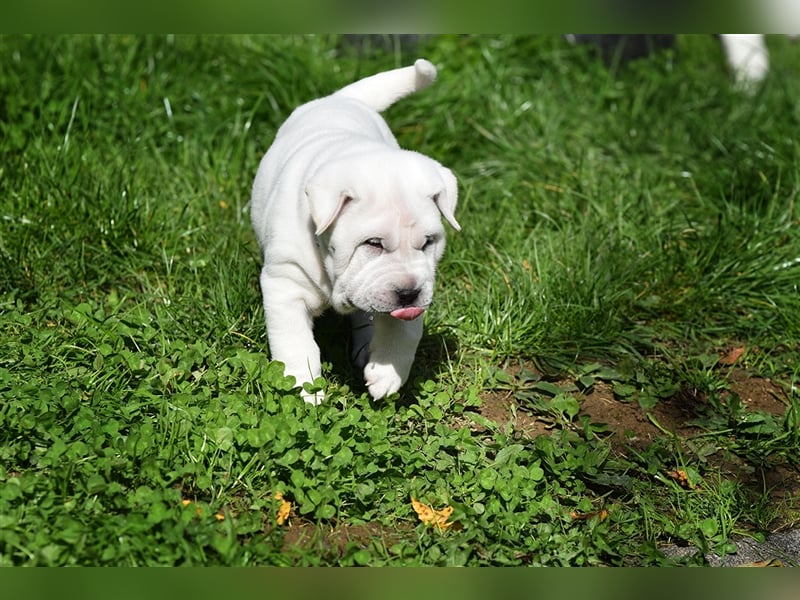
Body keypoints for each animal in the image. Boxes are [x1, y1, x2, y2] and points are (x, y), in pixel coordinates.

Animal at [253, 59, 460, 404]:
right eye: (372, 243)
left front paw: (388, 371)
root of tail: (343, 99)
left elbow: (406, 330)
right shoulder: (285, 282)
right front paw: (304, 389)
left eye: (428, 243)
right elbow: (295, 341)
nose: (409, 293)